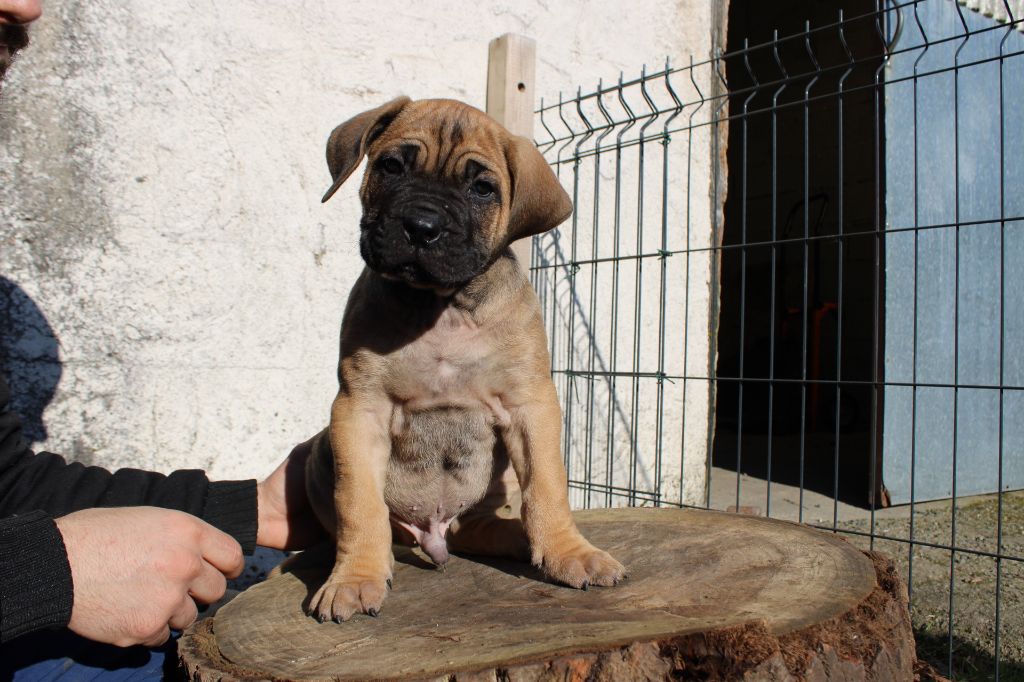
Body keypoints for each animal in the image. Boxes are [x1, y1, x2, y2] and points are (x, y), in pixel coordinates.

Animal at [303, 95, 622, 622]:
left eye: (482, 189)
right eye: (391, 166)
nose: (421, 228)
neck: (443, 307)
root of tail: (435, 535)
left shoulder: (530, 405)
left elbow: (547, 488)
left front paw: (569, 553)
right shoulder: (356, 410)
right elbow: (359, 502)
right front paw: (353, 578)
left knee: (482, 525)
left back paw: (524, 541)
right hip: (317, 452)